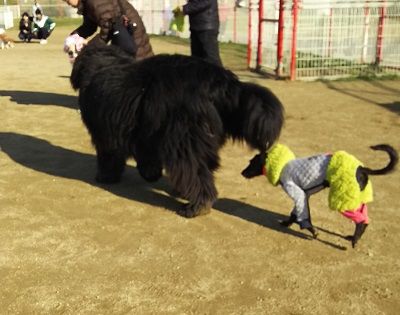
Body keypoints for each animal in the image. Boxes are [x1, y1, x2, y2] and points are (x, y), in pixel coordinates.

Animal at [72, 43, 284, 217]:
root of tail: (221, 82)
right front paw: (150, 173)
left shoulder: (107, 135)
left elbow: (110, 157)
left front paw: (106, 176)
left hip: (183, 140)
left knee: (194, 171)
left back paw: (196, 206)